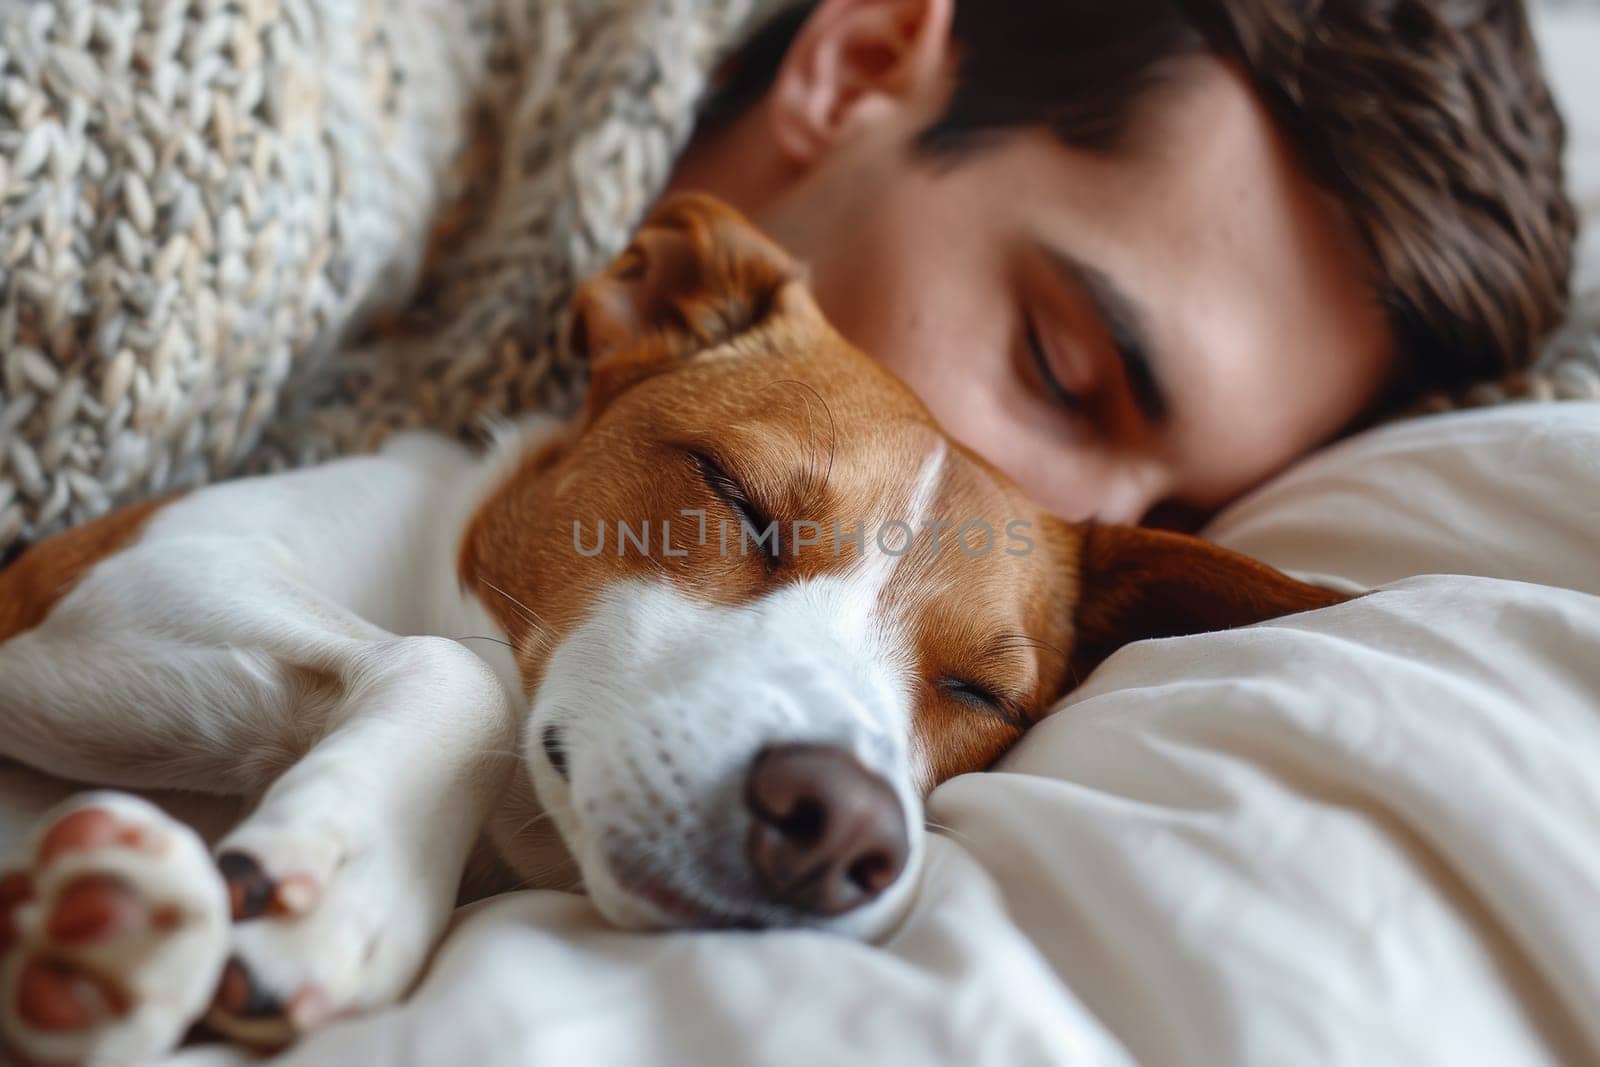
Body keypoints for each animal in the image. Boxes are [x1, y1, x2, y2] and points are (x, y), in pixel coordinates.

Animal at [0, 195, 1350, 1062]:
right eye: (738, 500)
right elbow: (459, 670)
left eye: (982, 695)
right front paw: (339, 885)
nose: (837, 823)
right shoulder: (111, 579)